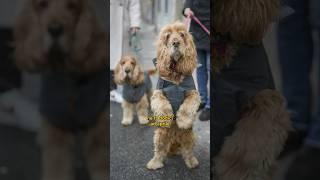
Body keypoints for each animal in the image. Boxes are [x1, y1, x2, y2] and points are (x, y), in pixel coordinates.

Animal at [147, 22, 200, 170]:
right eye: (168, 36)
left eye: (182, 35)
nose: (176, 42)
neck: (175, 72)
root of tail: (174, 138)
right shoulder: (158, 93)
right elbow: (163, 104)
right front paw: (167, 118)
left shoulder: (193, 94)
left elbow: (187, 107)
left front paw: (183, 121)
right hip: (160, 135)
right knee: (160, 150)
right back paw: (154, 163)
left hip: (189, 135)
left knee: (187, 150)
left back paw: (192, 162)